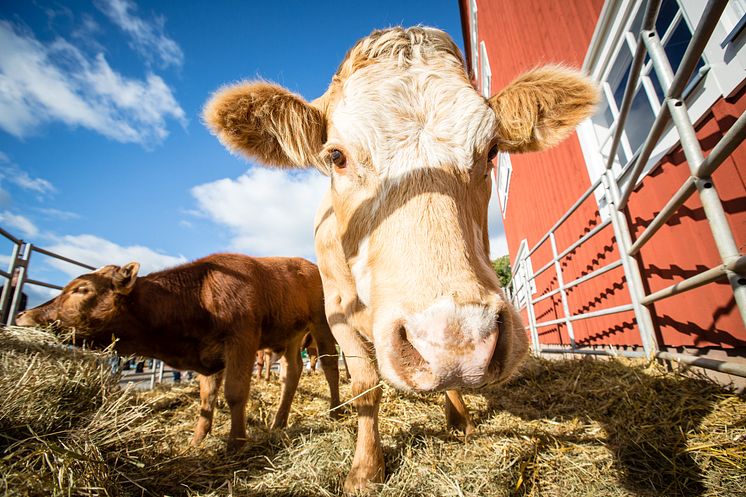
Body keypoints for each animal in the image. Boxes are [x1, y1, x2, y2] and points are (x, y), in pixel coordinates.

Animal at [15, 252, 340, 446]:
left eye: (82, 290)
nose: (23, 315)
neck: (201, 294)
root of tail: (307, 264)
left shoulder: (242, 343)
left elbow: (235, 393)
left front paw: (235, 442)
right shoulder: (210, 356)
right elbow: (207, 399)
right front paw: (196, 442)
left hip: (322, 324)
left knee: (331, 364)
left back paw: (335, 411)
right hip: (291, 336)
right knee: (291, 373)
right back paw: (279, 421)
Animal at [205, 26, 600, 488]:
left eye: (491, 150)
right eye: (336, 156)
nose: (456, 337)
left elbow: (448, 382)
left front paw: (460, 420)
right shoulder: (336, 312)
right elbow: (364, 385)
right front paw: (365, 469)